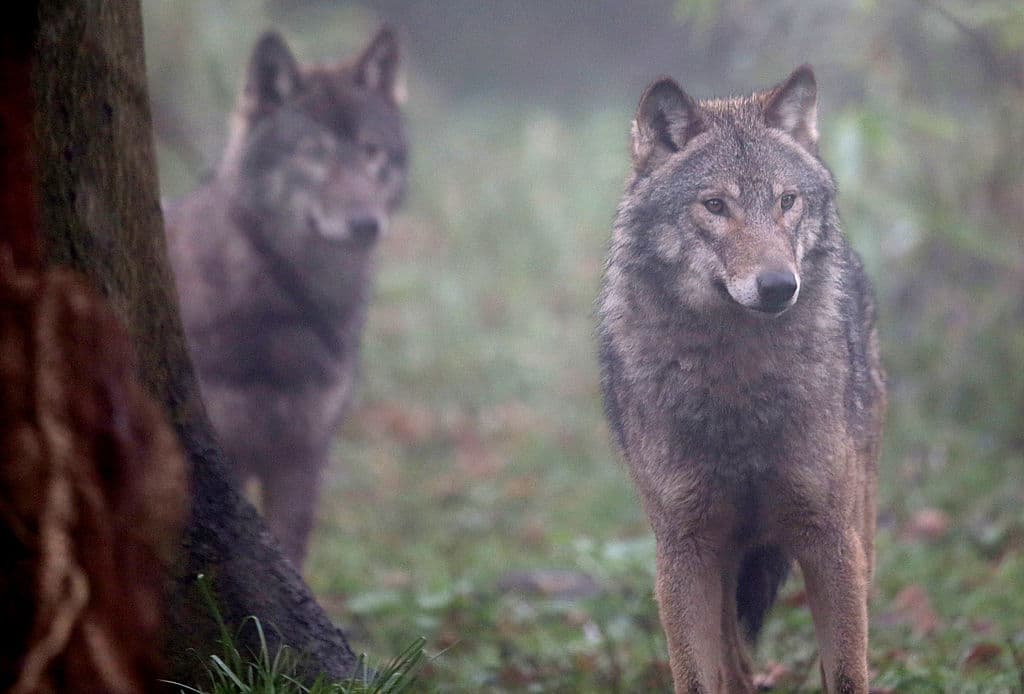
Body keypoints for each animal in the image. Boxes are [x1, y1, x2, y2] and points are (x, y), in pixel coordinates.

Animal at [597, 66, 886, 693]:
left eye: (786, 201)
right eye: (715, 205)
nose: (779, 286)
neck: (740, 386)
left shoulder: (830, 540)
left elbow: (847, 672)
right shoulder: (684, 551)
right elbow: (697, 677)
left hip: (860, 528)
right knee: (733, 663)